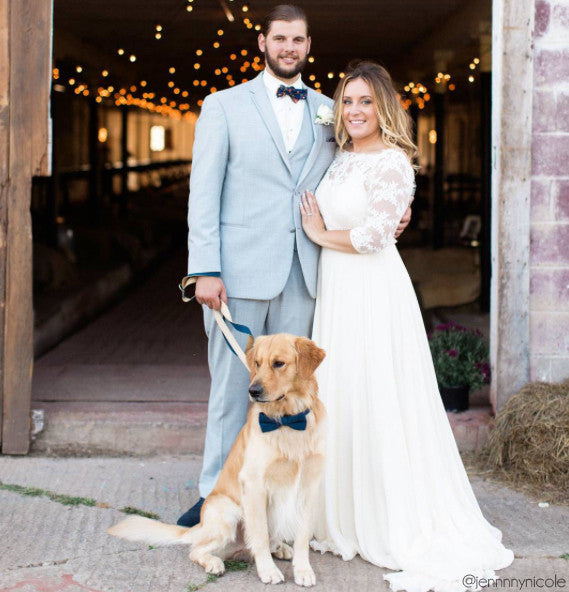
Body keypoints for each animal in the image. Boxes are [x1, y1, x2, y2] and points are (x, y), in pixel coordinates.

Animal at [108, 332, 326, 588]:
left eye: (279, 363)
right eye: (257, 363)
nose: (253, 390)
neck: (288, 421)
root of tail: (200, 526)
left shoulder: (308, 486)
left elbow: (301, 537)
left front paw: (303, 570)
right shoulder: (254, 485)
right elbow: (259, 535)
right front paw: (268, 571)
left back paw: (280, 547)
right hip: (226, 513)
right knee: (197, 549)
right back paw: (214, 562)